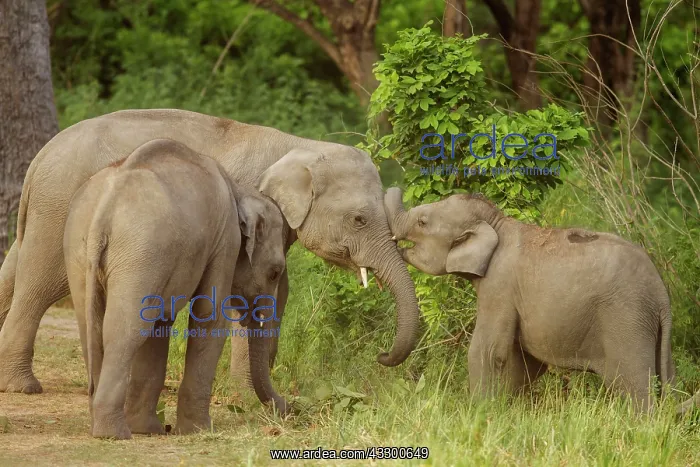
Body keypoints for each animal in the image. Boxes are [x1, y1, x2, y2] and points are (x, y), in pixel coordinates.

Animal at [0, 108, 420, 394]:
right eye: (359, 219)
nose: (382, 356)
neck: (301, 146)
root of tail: (40, 157)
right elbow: (241, 290)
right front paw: (245, 395)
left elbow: (278, 289)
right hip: (61, 209)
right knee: (42, 282)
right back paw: (22, 386)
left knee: (14, 267)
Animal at [63, 139, 288, 439]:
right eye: (275, 272)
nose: (289, 409)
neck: (239, 190)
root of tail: (104, 210)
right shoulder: (225, 241)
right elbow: (208, 317)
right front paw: (199, 430)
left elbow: (161, 324)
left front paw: (149, 430)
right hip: (141, 250)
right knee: (124, 329)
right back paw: (113, 433)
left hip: (80, 249)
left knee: (94, 328)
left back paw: (105, 425)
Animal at [384, 188, 675, 412]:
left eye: (422, 222)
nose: (382, 355)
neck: (497, 222)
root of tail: (661, 296)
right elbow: (525, 360)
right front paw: (501, 407)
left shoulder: (499, 285)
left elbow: (487, 350)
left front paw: (479, 412)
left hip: (627, 320)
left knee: (636, 386)